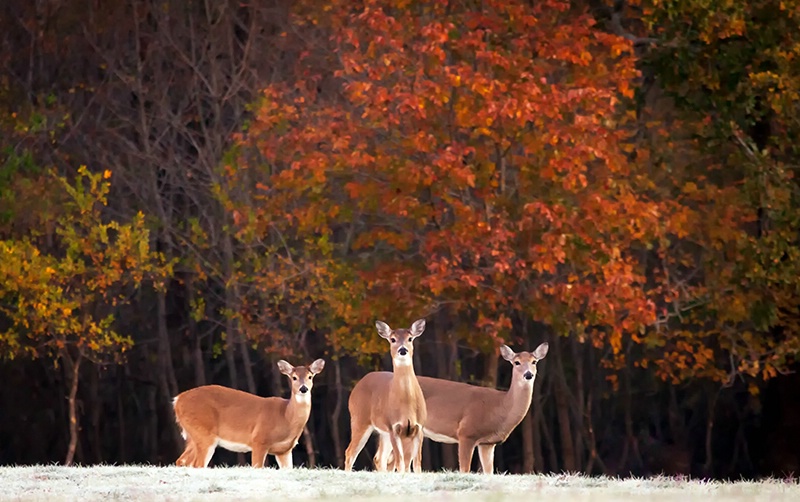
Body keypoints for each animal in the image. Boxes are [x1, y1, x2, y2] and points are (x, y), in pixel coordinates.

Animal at [173, 356, 324, 466]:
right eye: (294, 378)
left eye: (310, 377)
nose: (303, 388)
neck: (286, 417)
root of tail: (177, 400)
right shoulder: (259, 440)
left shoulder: (285, 450)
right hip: (204, 432)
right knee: (197, 464)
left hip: (193, 435)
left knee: (182, 461)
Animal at [346, 320, 432, 472]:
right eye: (393, 339)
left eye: (410, 338)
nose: (403, 350)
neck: (407, 403)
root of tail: (357, 386)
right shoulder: (393, 427)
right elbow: (400, 463)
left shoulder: (419, 427)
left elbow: (416, 465)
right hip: (359, 419)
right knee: (350, 453)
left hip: (383, 432)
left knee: (379, 457)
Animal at [376, 342, 552, 474]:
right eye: (517, 362)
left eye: (534, 361)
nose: (528, 374)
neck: (499, 407)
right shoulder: (466, 433)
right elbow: (465, 469)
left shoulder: (488, 443)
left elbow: (489, 472)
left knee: (385, 460)